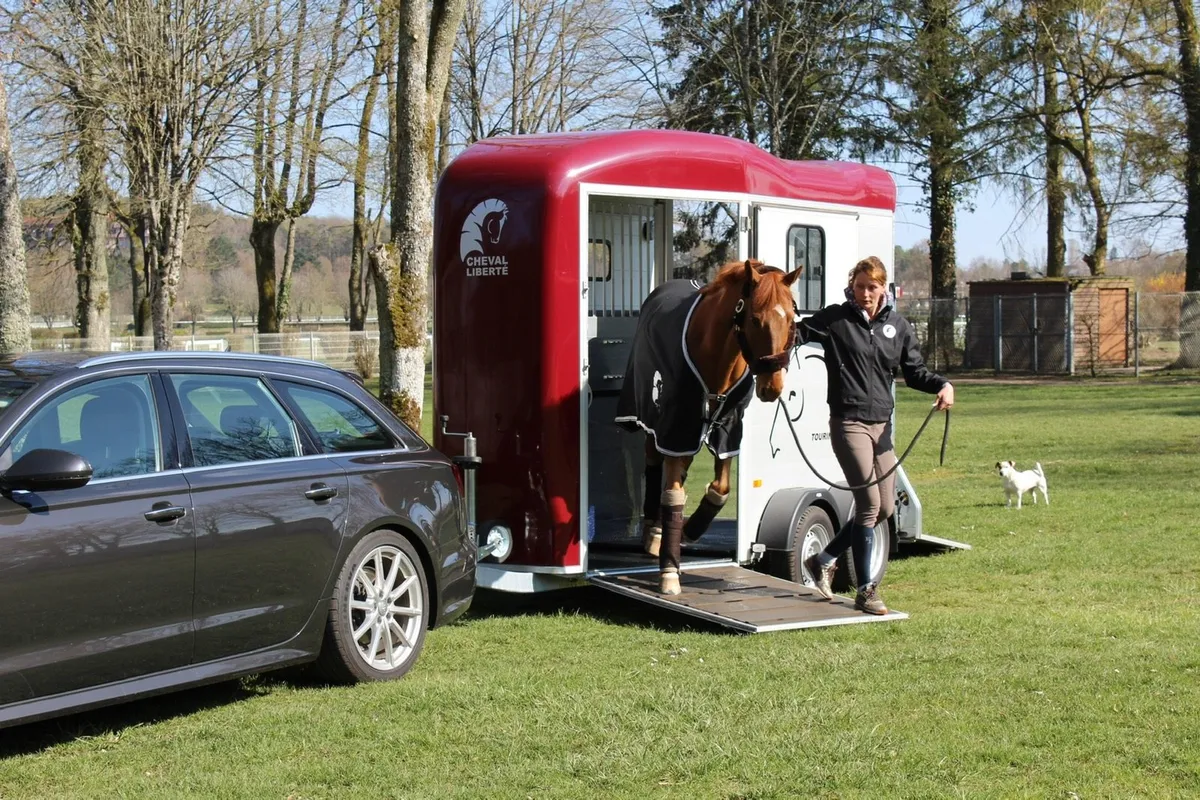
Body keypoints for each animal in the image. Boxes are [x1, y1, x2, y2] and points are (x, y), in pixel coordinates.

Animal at [624, 261, 801, 594]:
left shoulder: (727, 429)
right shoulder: (675, 426)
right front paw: (669, 570)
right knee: (654, 463)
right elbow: (673, 494)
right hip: (654, 421)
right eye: (755, 319)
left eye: (791, 317)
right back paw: (653, 531)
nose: (773, 387)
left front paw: (689, 530)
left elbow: (721, 489)